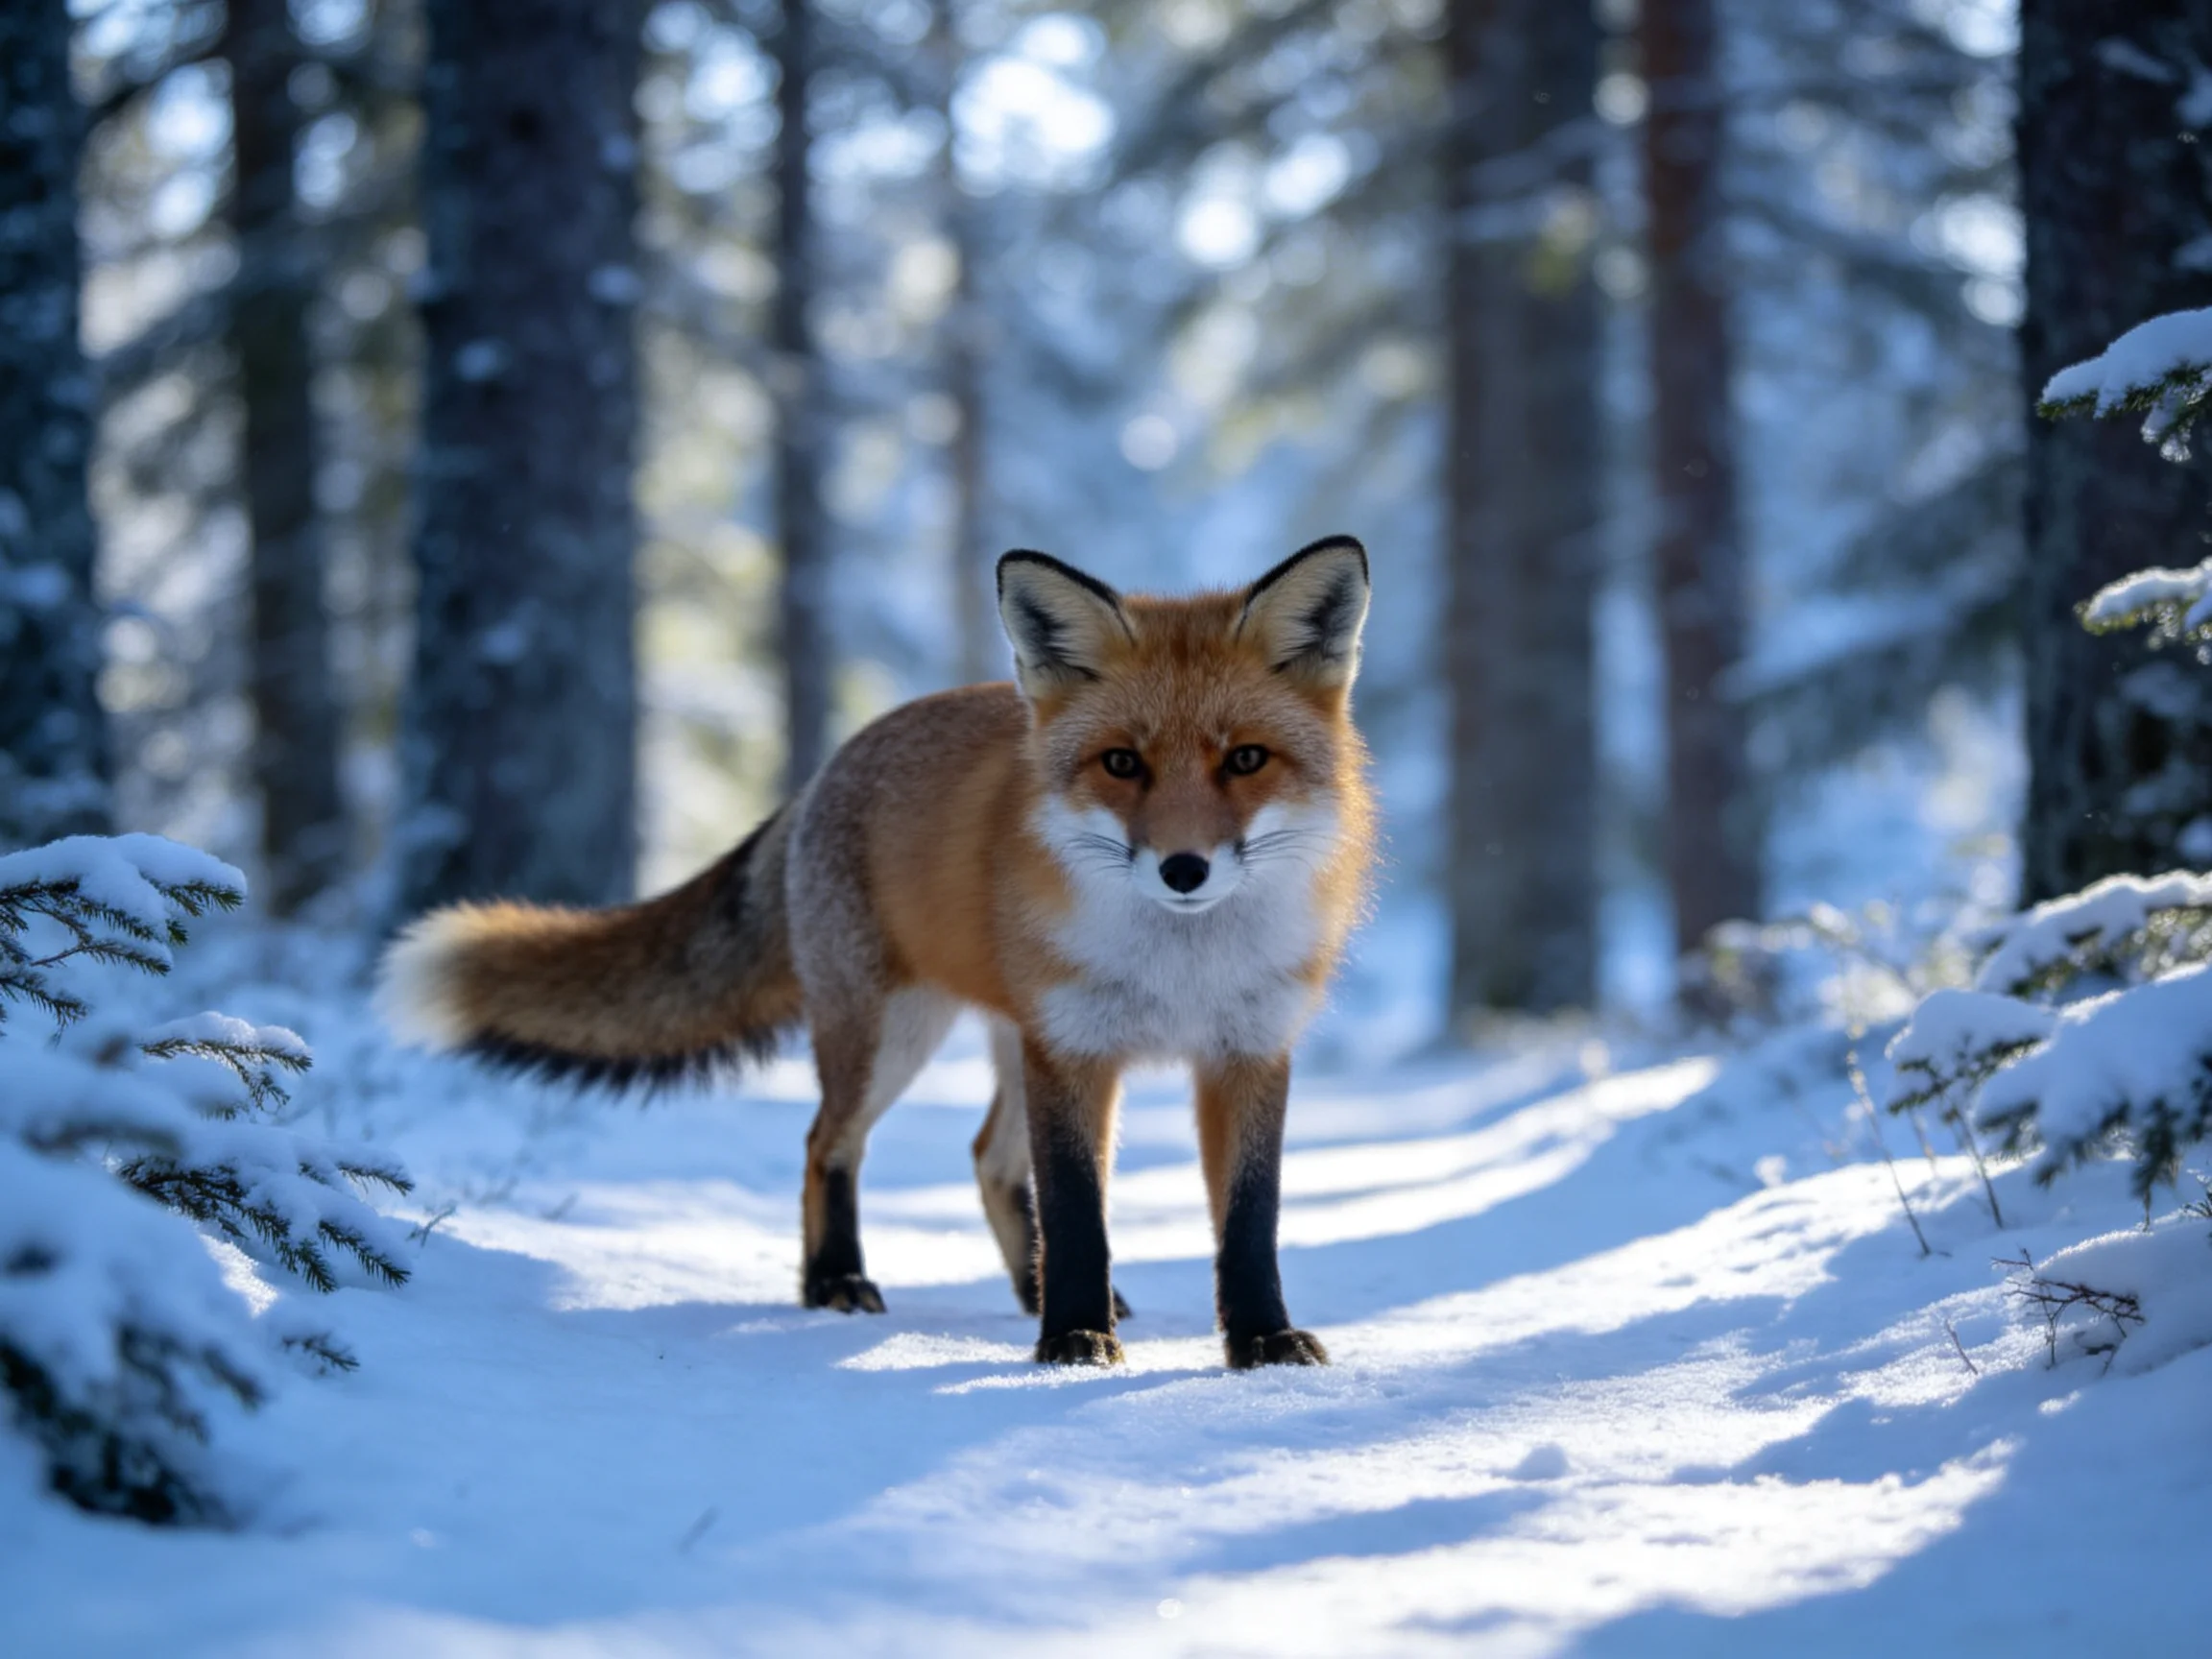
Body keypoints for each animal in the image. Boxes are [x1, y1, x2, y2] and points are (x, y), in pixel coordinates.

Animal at [377, 535, 1376, 1368]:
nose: (1183, 868)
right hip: (891, 1037)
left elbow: (1248, 1222)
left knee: (988, 1160)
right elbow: (1077, 1212)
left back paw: (1026, 1292)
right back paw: (837, 1281)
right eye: (1122, 764)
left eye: (1245, 760)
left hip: (1001, 1038)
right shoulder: (1076, 1051)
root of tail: (827, 767)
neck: (1183, 968)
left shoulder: (1249, 1050)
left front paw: (1260, 1341)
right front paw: (1073, 1340)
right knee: (829, 1142)